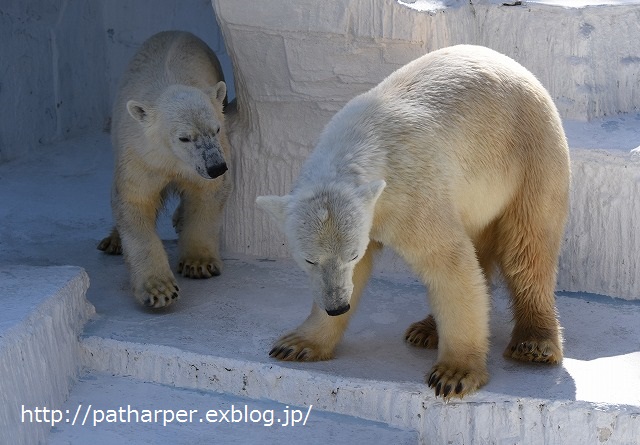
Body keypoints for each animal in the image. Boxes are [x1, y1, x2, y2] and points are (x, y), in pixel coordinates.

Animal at [99, 31, 231, 306]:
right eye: (184, 138)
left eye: (216, 129)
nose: (217, 167)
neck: (173, 159)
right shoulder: (141, 157)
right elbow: (135, 201)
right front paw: (159, 290)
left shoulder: (214, 153)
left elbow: (207, 193)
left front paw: (198, 263)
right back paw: (113, 240)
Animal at [258, 46, 572, 398]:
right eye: (309, 259)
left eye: (351, 254)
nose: (337, 306)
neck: (358, 143)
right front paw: (297, 343)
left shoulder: (409, 195)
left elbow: (450, 263)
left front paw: (454, 373)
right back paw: (425, 329)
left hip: (529, 157)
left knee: (528, 247)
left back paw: (534, 344)